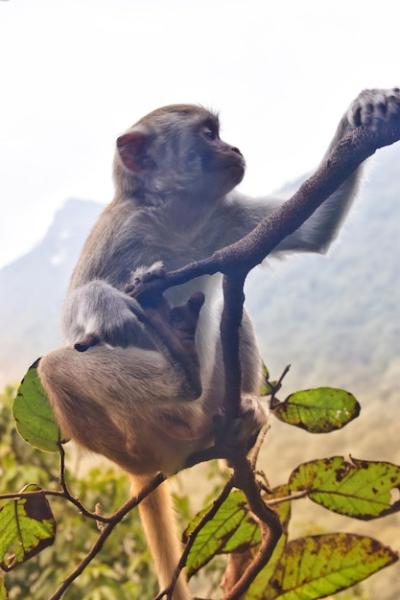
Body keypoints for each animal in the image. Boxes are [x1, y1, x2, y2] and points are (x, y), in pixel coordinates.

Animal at [38, 86, 400, 596]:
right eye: (208, 134)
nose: (234, 148)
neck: (176, 219)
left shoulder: (224, 219)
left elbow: (309, 232)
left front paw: (364, 110)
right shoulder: (119, 231)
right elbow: (75, 322)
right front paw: (106, 305)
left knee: (233, 308)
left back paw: (234, 416)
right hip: (137, 439)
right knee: (55, 367)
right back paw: (185, 398)